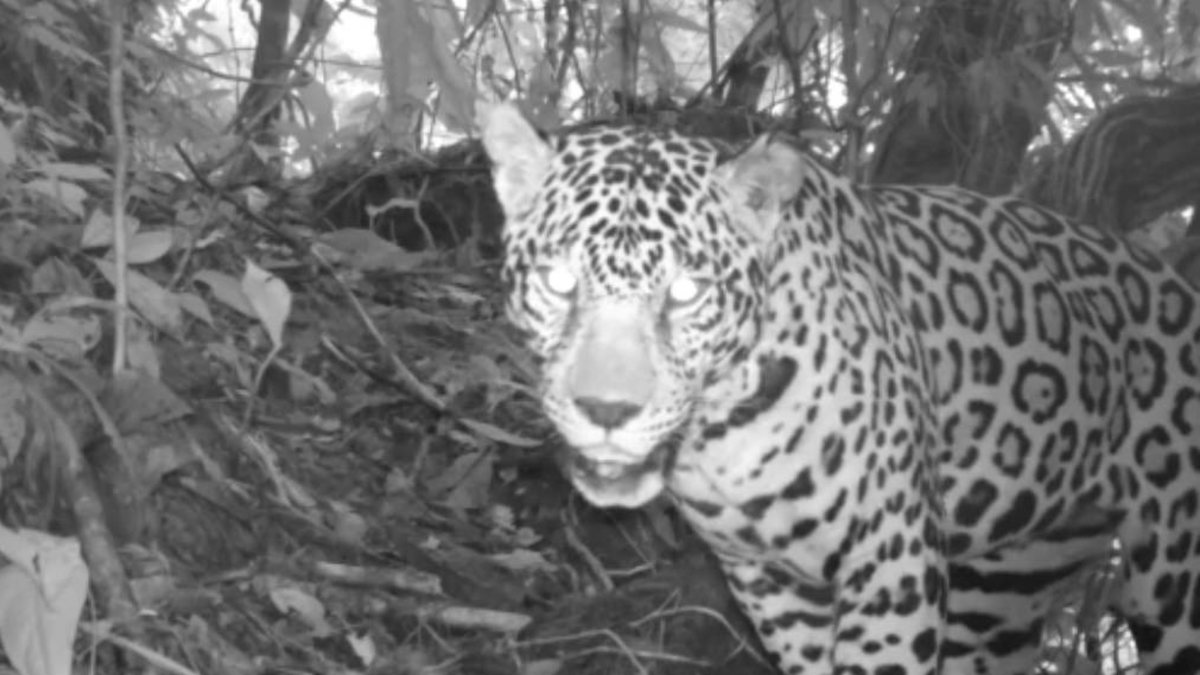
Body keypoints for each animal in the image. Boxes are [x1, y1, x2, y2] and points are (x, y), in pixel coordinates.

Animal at [479, 102, 1200, 675]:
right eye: (559, 282)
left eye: (686, 293)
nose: (606, 409)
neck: (721, 434)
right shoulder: (769, 581)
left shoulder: (892, 557)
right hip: (1001, 596)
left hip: (1175, 584)